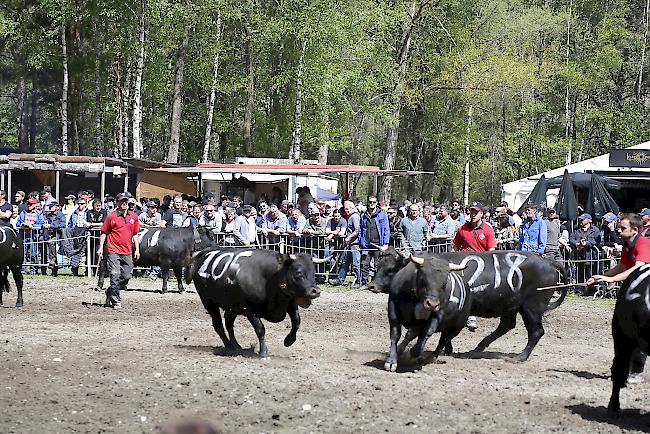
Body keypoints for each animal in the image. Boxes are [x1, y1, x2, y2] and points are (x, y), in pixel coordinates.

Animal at [187, 249, 324, 358]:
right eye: (298, 272)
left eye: (314, 272)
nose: (316, 291)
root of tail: (203, 254)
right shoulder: (248, 308)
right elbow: (260, 329)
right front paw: (264, 352)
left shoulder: (290, 303)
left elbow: (296, 322)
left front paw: (288, 341)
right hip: (209, 302)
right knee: (218, 325)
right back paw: (229, 346)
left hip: (232, 307)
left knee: (229, 324)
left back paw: (236, 345)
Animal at [370, 248, 568, 362]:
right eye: (378, 266)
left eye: (390, 270)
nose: (372, 285)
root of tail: (547, 261)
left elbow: (414, 332)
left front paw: (402, 349)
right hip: (511, 306)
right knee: (507, 325)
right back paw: (478, 348)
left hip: (532, 308)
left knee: (536, 332)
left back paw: (520, 356)